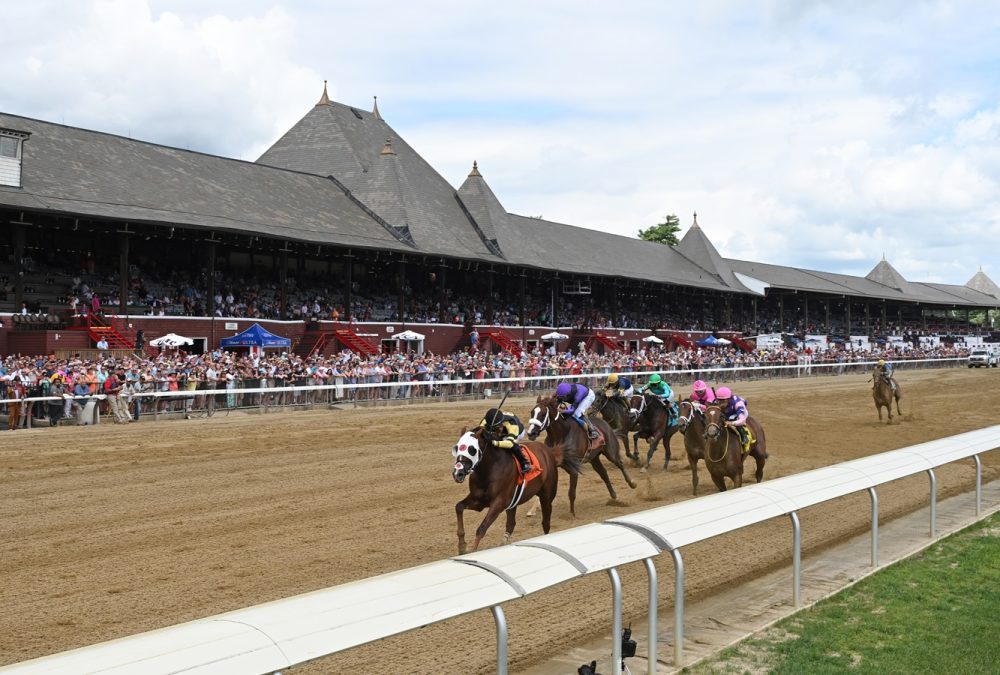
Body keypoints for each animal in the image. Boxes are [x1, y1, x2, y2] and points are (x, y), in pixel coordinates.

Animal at [452, 428, 584, 556]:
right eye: (457, 447)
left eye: (472, 449)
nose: (458, 473)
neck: (489, 470)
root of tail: (550, 452)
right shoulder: (478, 500)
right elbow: (458, 507)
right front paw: (462, 546)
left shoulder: (498, 503)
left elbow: (481, 528)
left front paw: (471, 552)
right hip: (513, 503)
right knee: (511, 524)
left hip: (546, 497)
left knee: (545, 523)